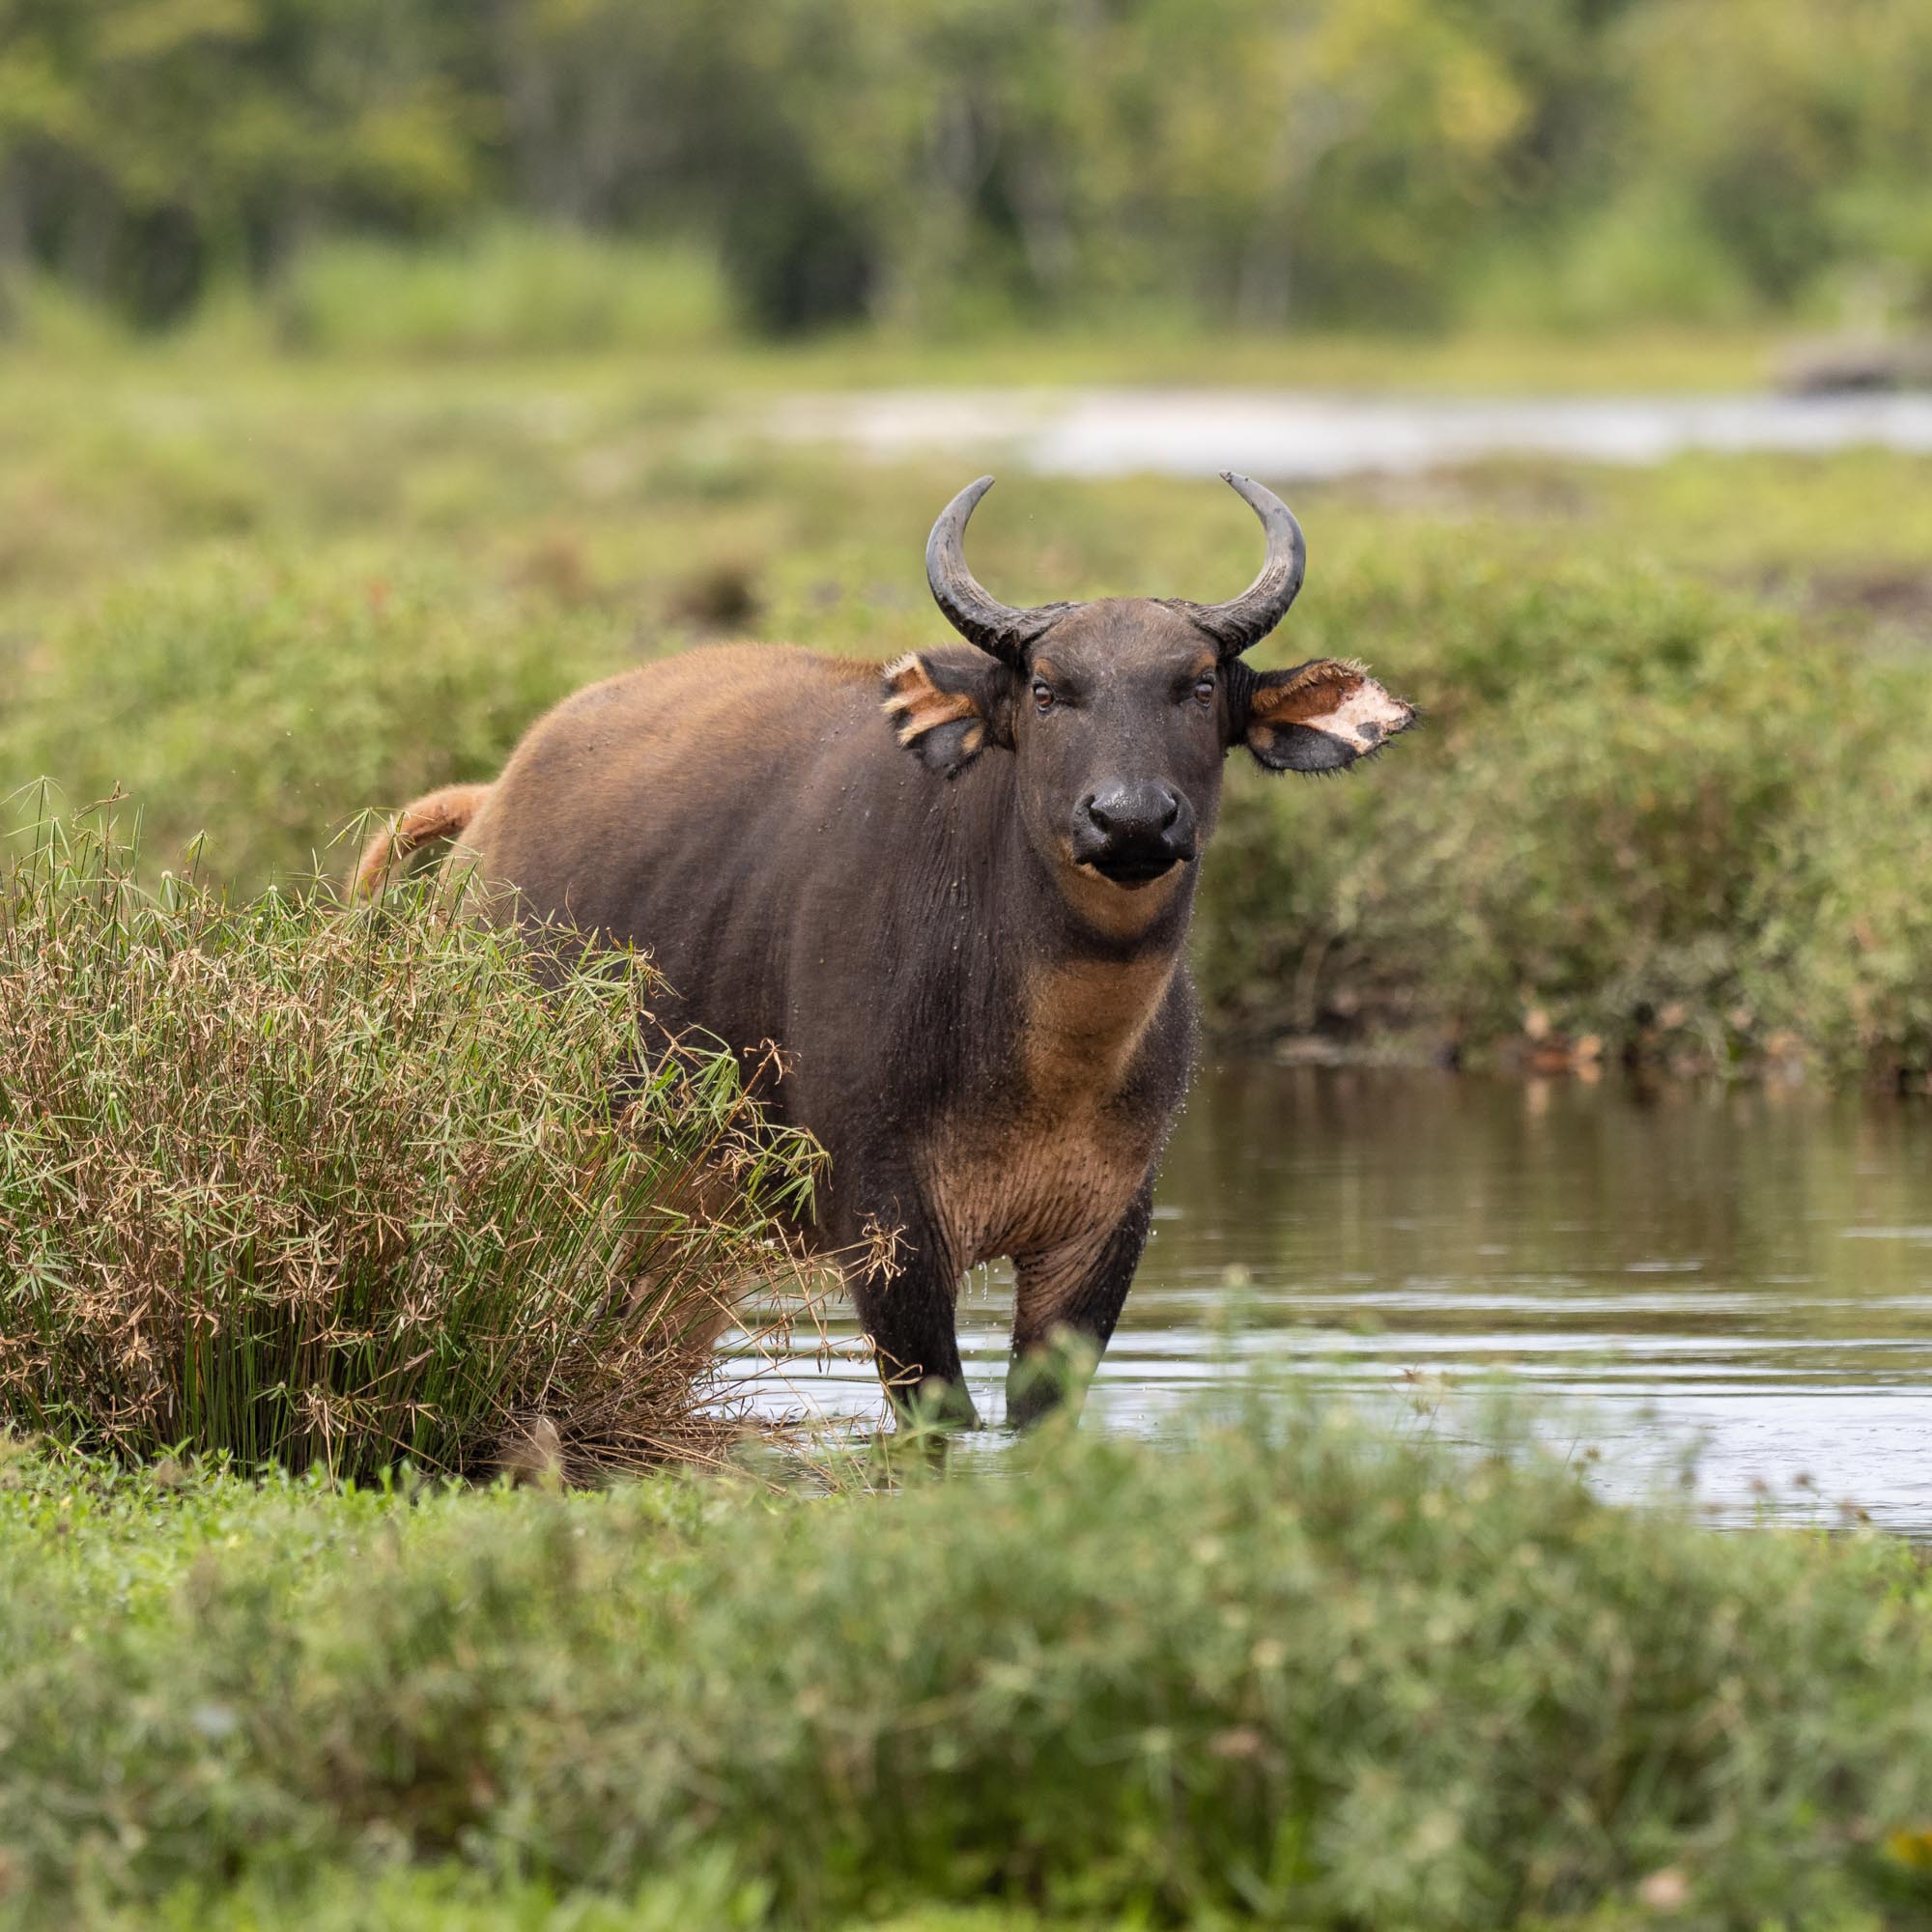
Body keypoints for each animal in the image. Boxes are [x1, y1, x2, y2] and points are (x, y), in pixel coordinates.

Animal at [353, 473, 1415, 1427]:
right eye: (1046, 690)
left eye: (1194, 686)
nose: (1129, 818)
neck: (1052, 1055)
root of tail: (487, 811)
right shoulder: (886, 1223)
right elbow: (937, 1411)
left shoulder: (1103, 1227)